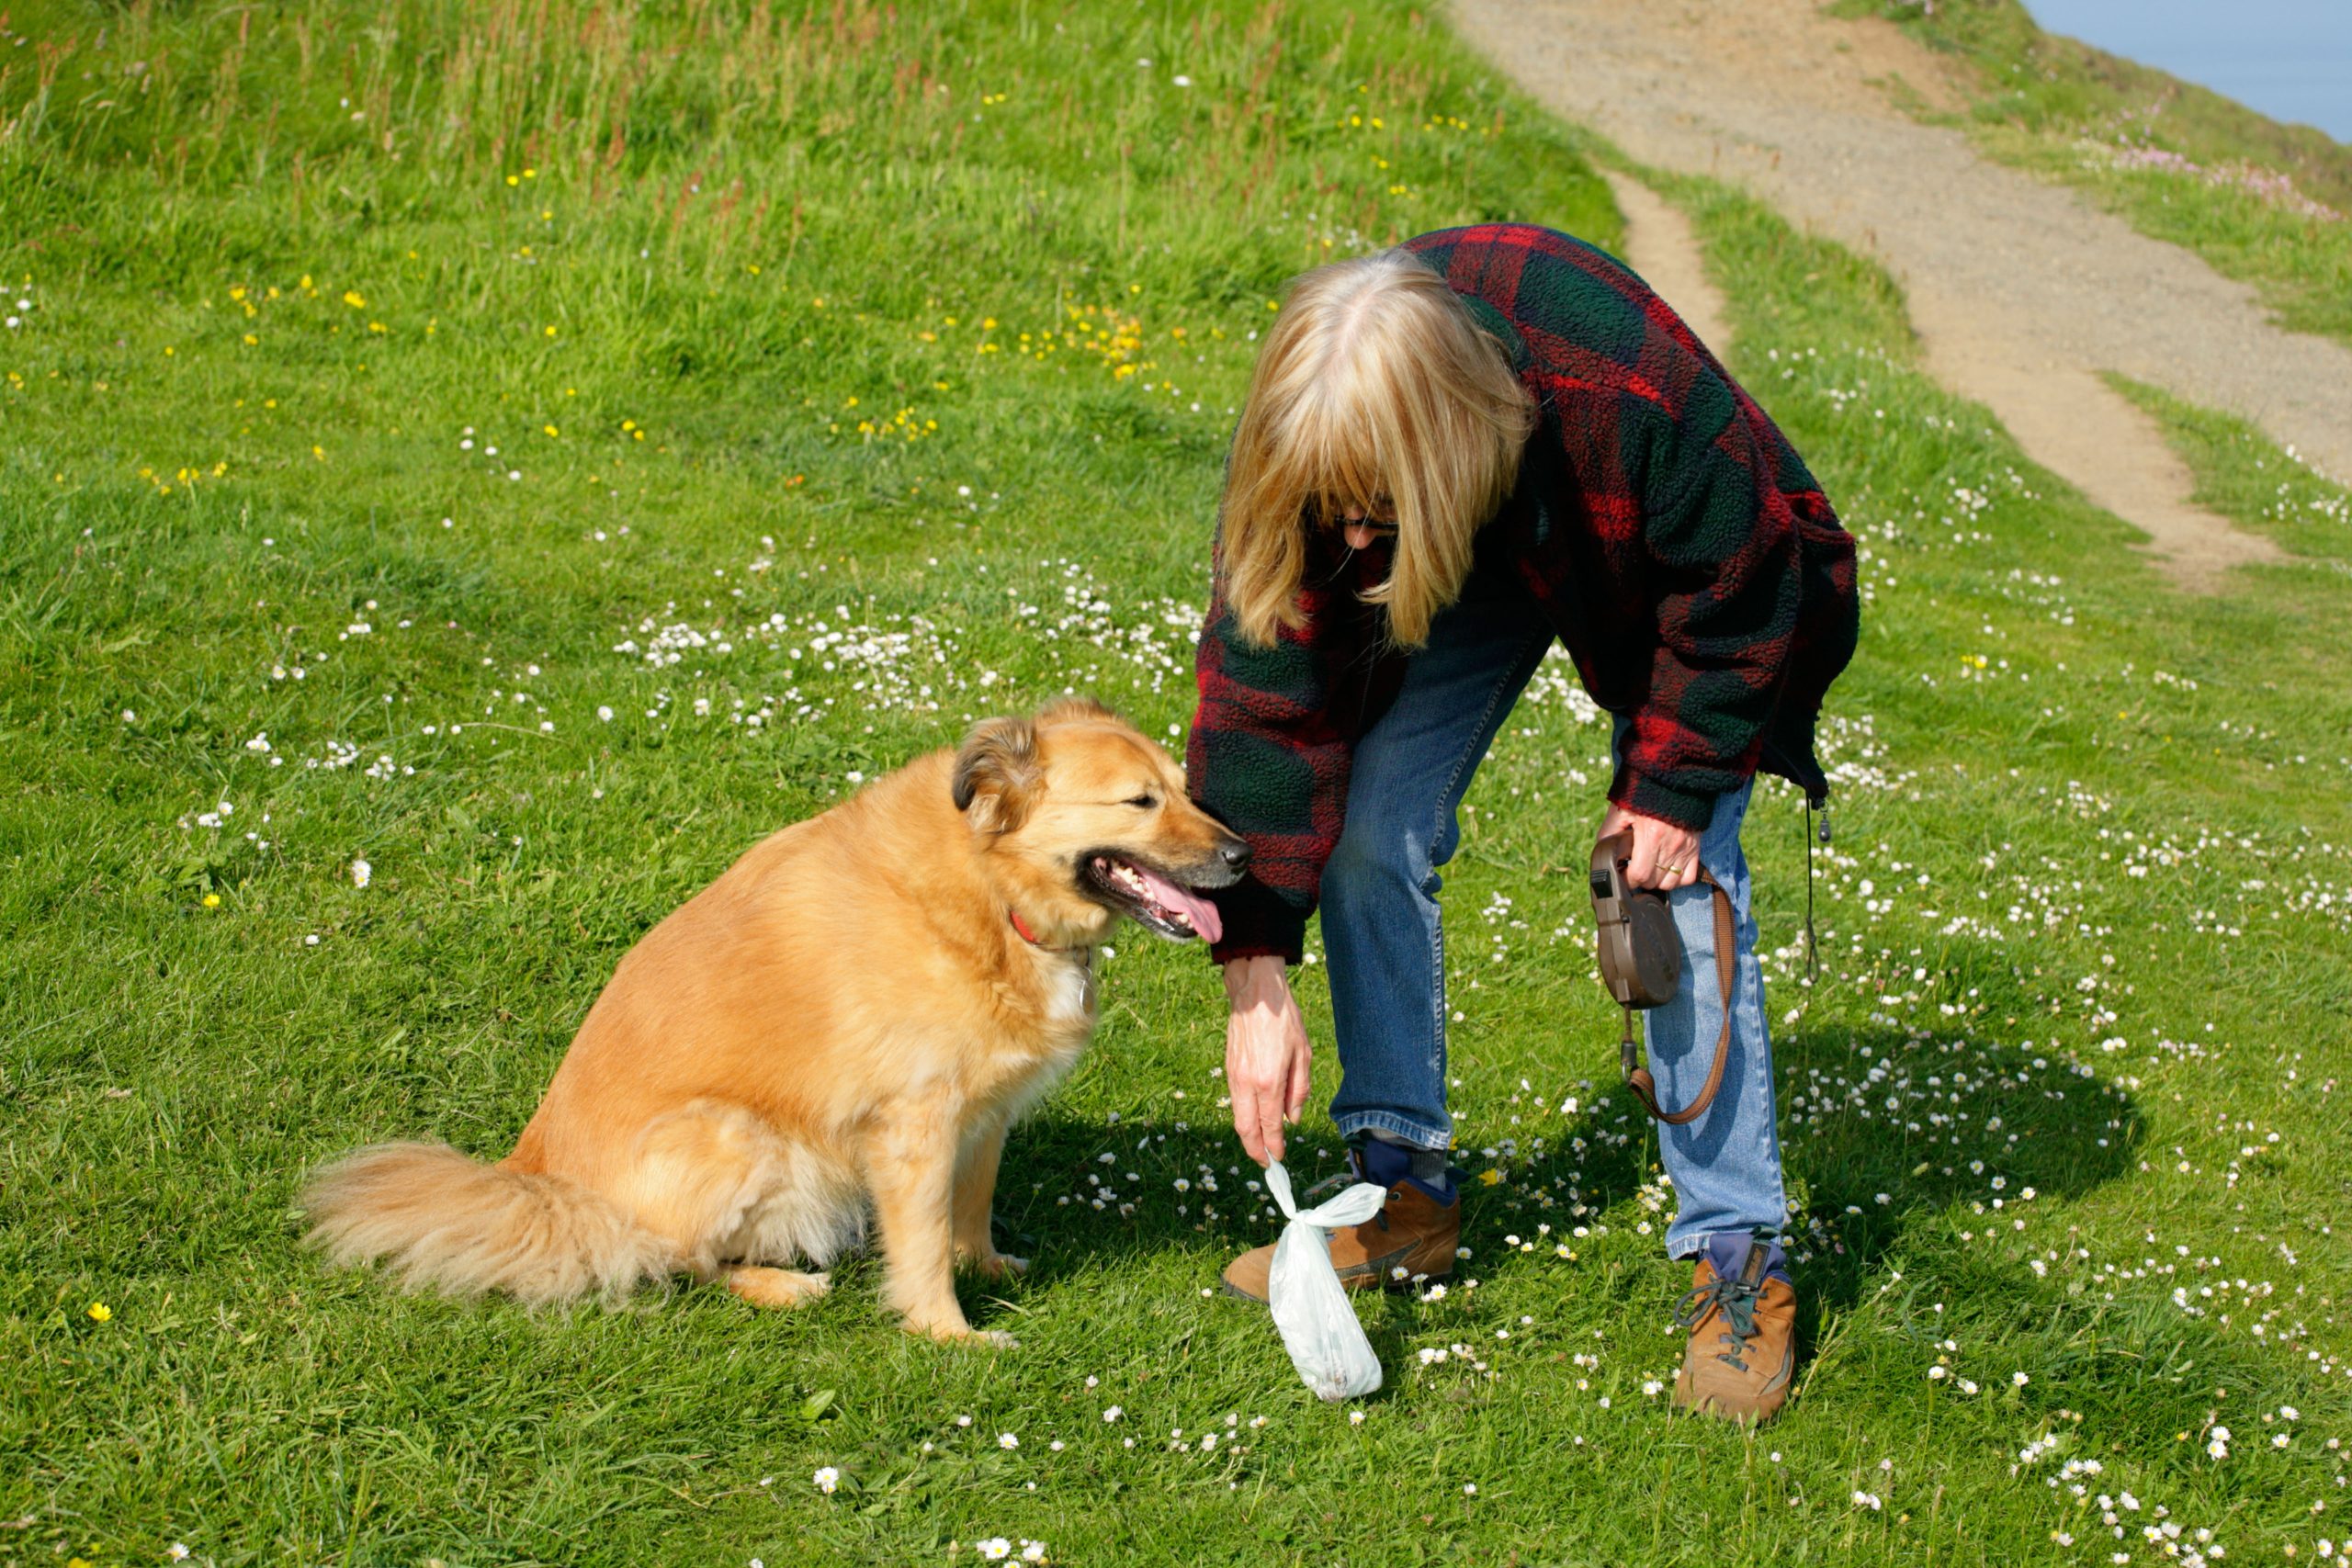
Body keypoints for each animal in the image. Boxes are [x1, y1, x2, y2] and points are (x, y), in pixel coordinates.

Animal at [303, 700, 1250, 1354]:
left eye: (1186, 790)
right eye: (1139, 801)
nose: (1243, 856)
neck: (991, 891)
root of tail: (541, 1183)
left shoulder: (983, 1113)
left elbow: (971, 1207)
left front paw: (988, 1268)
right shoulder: (913, 1125)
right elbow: (922, 1242)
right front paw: (949, 1334)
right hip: (743, 1138)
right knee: (668, 1259)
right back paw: (780, 1285)